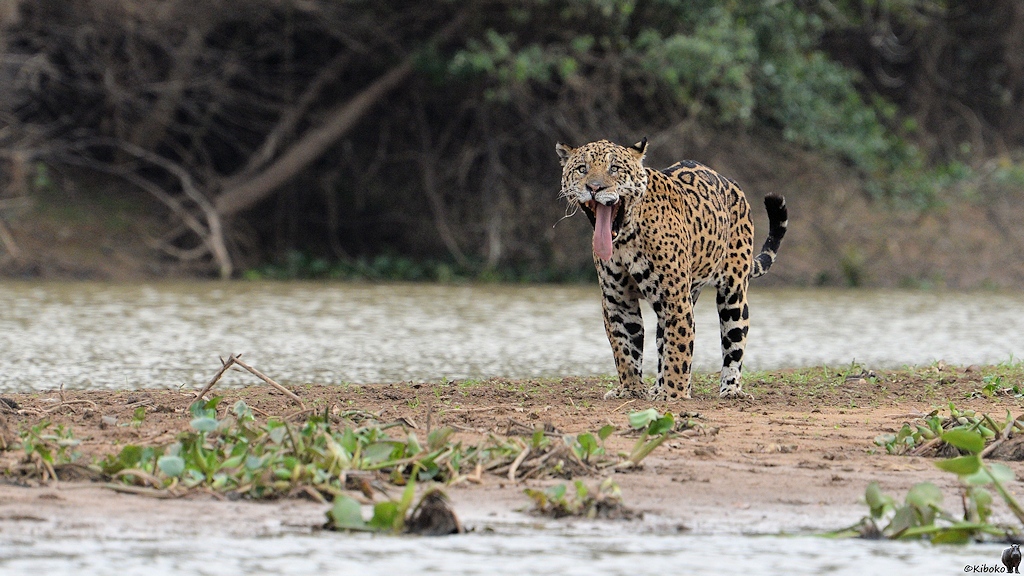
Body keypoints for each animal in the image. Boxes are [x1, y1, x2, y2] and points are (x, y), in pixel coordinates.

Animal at [556, 138, 788, 400]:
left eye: (613, 168)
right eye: (582, 169)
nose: (594, 187)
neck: (625, 237)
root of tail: (732, 183)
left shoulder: (675, 299)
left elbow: (678, 348)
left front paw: (674, 394)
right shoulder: (618, 301)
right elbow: (624, 348)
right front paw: (631, 390)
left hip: (733, 292)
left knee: (734, 341)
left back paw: (731, 389)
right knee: (661, 343)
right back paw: (658, 386)